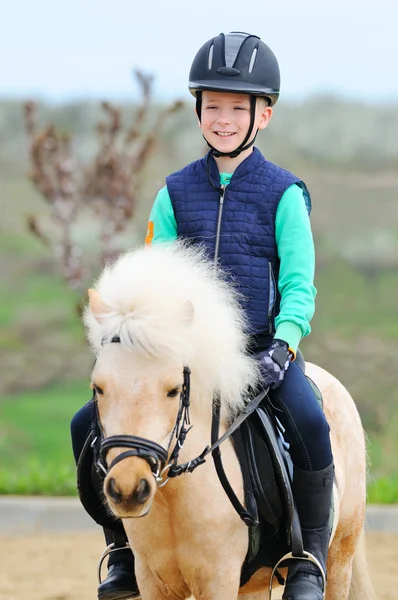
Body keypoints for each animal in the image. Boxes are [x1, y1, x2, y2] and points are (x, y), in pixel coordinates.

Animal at [83, 241, 374, 596]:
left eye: (173, 390)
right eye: (98, 387)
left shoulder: (218, 579)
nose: (128, 488)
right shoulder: (153, 580)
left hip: (340, 555)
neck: (174, 500)